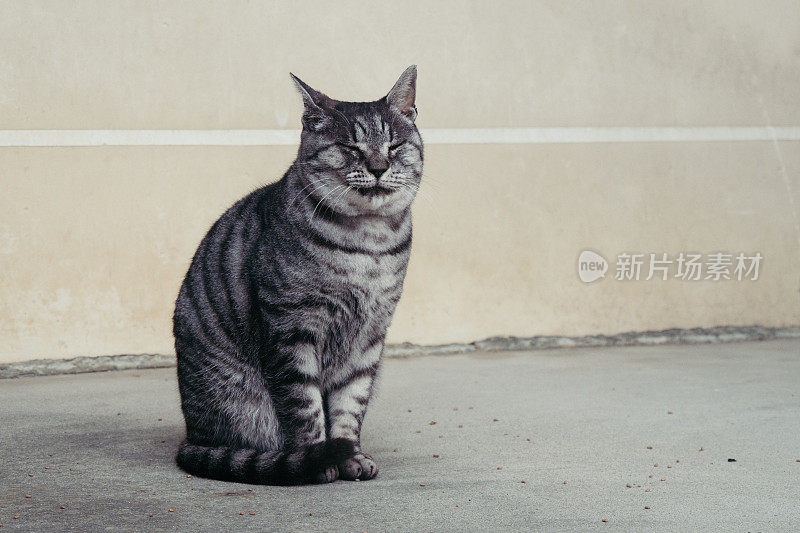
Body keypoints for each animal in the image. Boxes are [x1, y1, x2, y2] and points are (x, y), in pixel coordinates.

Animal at [173, 65, 424, 482]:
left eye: (393, 147)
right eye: (350, 147)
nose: (378, 167)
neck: (368, 244)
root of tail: (193, 437)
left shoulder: (369, 337)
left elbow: (349, 406)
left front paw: (350, 456)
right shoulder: (292, 330)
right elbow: (305, 409)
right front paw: (316, 460)